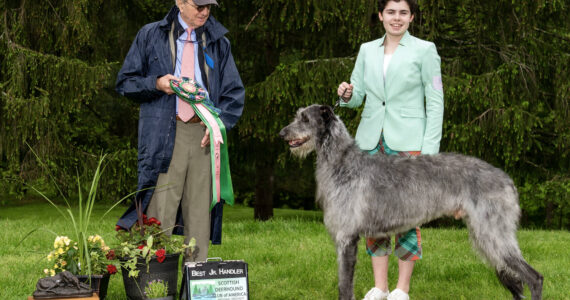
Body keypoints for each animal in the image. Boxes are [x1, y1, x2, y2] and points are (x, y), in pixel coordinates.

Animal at [278, 105, 540, 300]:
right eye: (298, 115)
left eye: (304, 118)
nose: (281, 133)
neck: (341, 161)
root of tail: (507, 179)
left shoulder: (347, 238)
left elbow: (344, 285)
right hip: (486, 235)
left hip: (493, 233)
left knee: (534, 278)